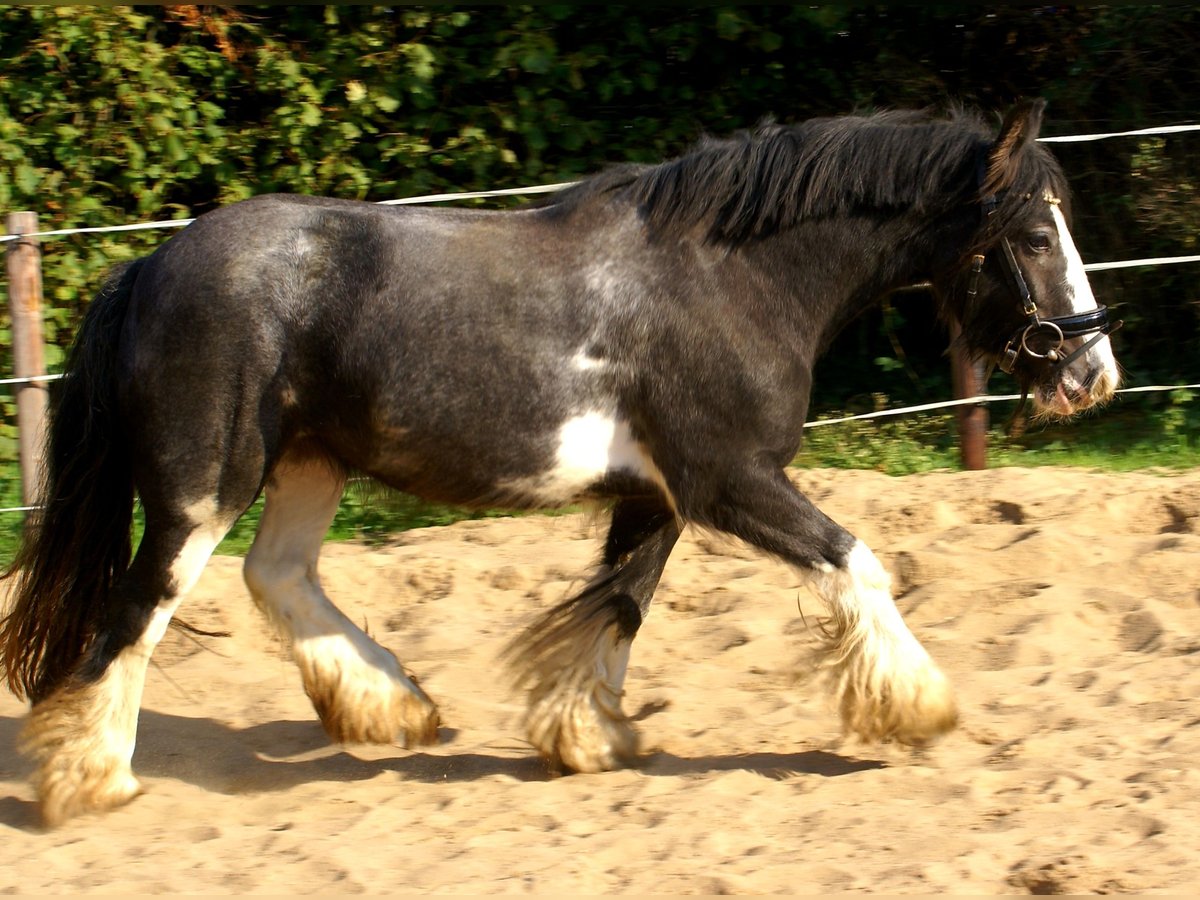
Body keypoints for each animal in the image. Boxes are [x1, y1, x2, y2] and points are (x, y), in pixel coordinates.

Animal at [1, 98, 1119, 825]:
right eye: (1033, 233)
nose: (1093, 371)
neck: (732, 280)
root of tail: (150, 263)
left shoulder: (660, 497)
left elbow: (617, 609)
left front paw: (588, 738)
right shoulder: (731, 482)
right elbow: (856, 561)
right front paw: (920, 709)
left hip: (312, 463)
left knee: (276, 577)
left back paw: (397, 708)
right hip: (203, 486)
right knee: (138, 613)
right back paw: (89, 781)